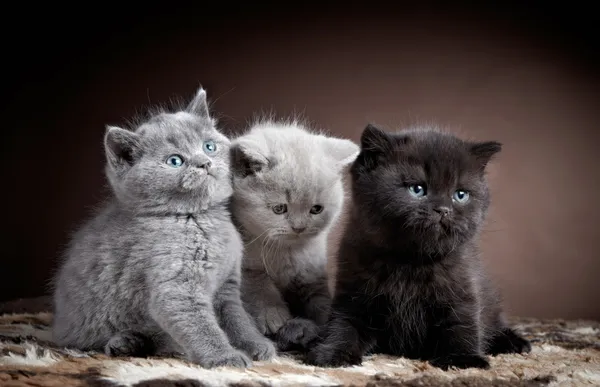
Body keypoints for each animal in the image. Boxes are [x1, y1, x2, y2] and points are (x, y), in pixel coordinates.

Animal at [51, 88, 276, 370]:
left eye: (209, 146)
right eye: (175, 161)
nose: (204, 163)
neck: (199, 219)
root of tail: (58, 326)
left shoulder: (227, 286)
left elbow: (237, 319)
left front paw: (255, 344)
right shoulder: (176, 287)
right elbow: (202, 326)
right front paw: (225, 357)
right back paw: (124, 342)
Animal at [230, 121, 358, 352]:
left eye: (316, 209)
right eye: (279, 208)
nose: (299, 227)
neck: (284, 251)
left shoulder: (313, 272)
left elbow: (320, 299)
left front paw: (325, 322)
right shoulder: (245, 266)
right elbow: (258, 283)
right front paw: (273, 315)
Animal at [308, 124, 532, 370]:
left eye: (460, 195)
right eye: (417, 189)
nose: (443, 210)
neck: (410, 261)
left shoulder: (462, 288)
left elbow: (461, 323)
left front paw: (463, 360)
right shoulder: (353, 293)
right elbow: (344, 325)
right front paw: (333, 353)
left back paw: (514, 342)